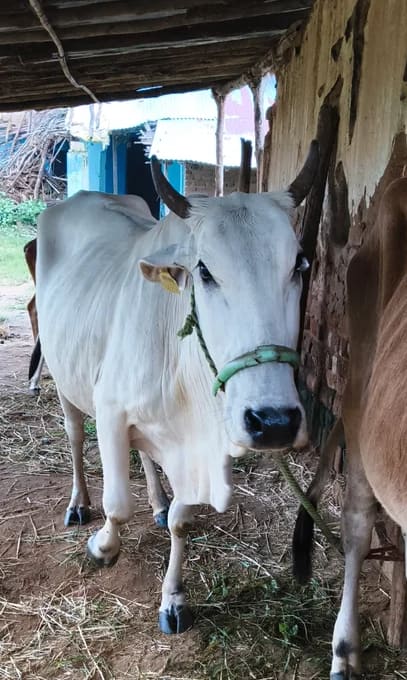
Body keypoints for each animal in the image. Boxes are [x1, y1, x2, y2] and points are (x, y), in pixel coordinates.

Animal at [33, 144, 318, 633]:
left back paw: (158, 501)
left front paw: (173, 598)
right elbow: (117, 504)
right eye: (204, 270)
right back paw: (78, 503)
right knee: (73, 437)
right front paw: (102, 546)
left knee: (146, 457)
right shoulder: (110, 412)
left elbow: (183, 521)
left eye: (298, 265)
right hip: (63, 373)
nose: (274, 422)